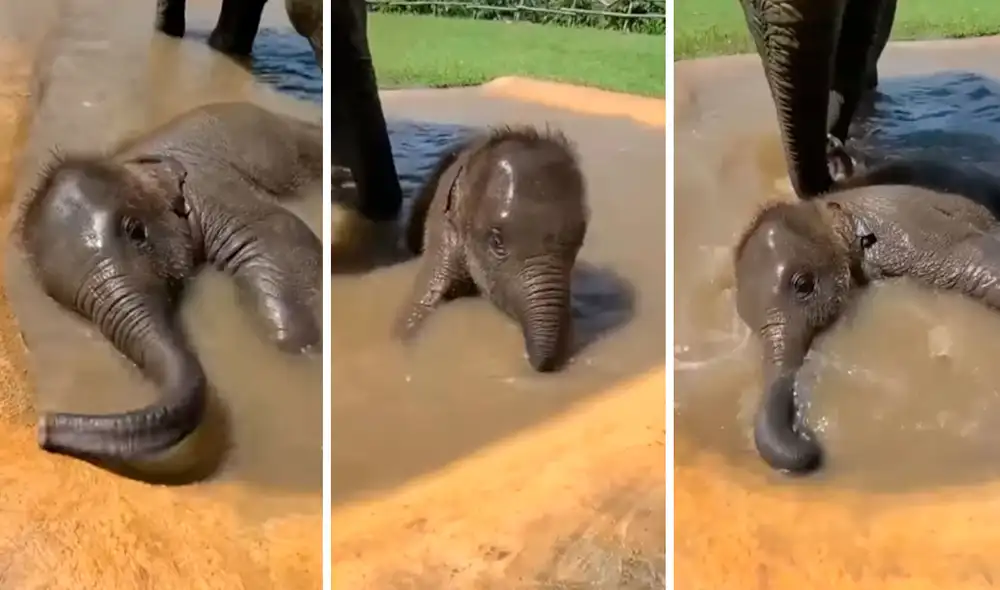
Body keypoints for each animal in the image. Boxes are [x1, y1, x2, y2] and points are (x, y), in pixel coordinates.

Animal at [18, 101, 323, 462]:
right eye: (63, 299)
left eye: (136, 232)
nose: (42, 428)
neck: (131, 162)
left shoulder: (210, 186)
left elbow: (278, 231)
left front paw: (300, 348)